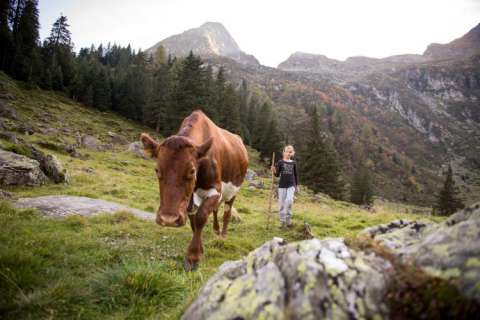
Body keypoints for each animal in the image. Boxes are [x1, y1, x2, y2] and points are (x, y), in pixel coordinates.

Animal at [141, 110, 249, 270]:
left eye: (192, 171)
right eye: (157, 169)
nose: (168, 219)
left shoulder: (215, 189)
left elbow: (201, 217)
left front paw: (193, 256)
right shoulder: (190, 198)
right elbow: (193, 220)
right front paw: (199, 248)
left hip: (233, 191)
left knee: (227, 212)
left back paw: (223, 234)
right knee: (216, 210)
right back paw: (216, 230)